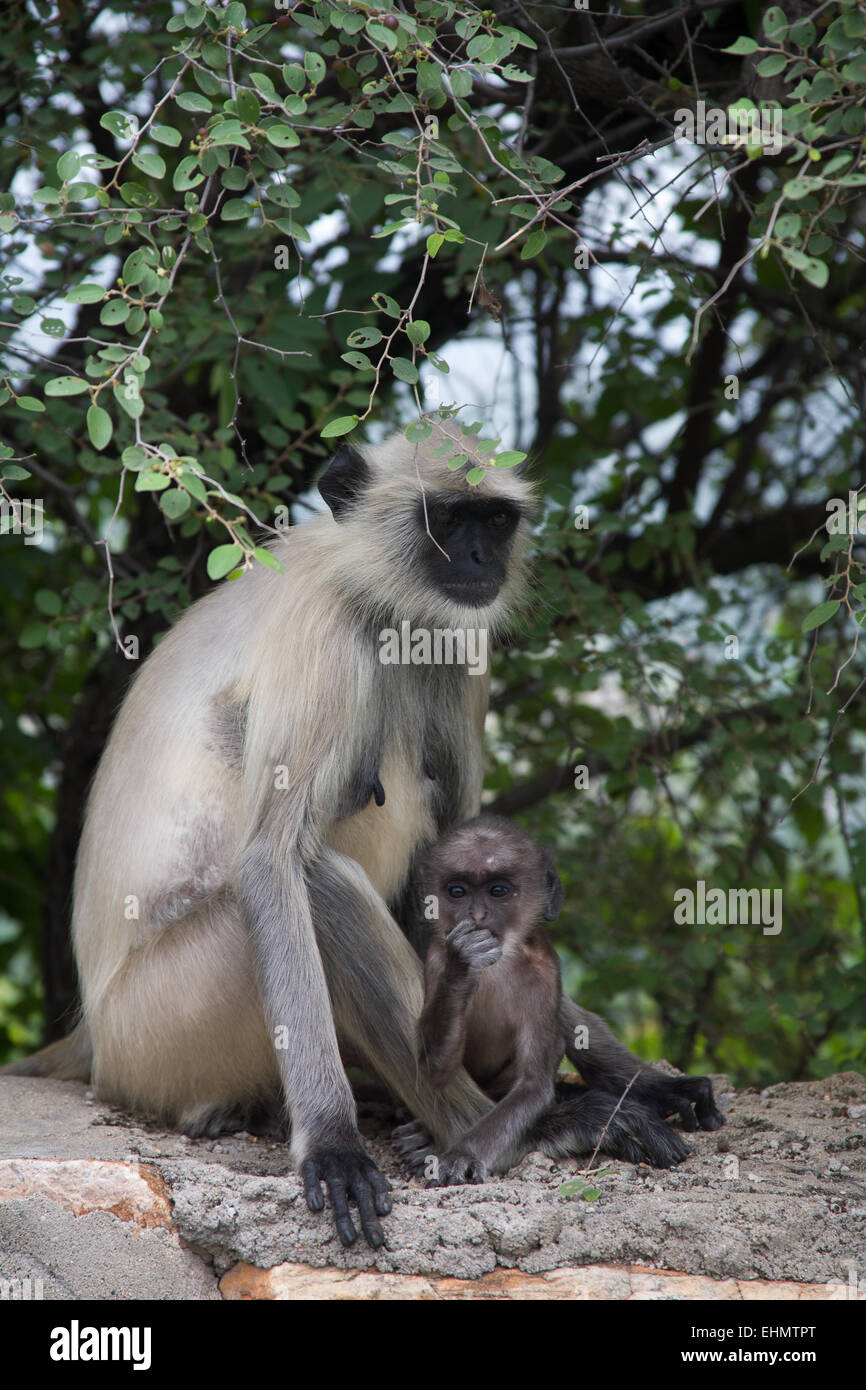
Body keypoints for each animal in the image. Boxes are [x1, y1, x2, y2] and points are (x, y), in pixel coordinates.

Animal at [397, 817, 722, 1189]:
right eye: (457, 892)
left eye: (498, 891)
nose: (477, 916)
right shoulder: (437, 954)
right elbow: (435, 1069)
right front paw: (463, 964)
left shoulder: (545, 969)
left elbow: (534, 1083)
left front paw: (462, 1154)